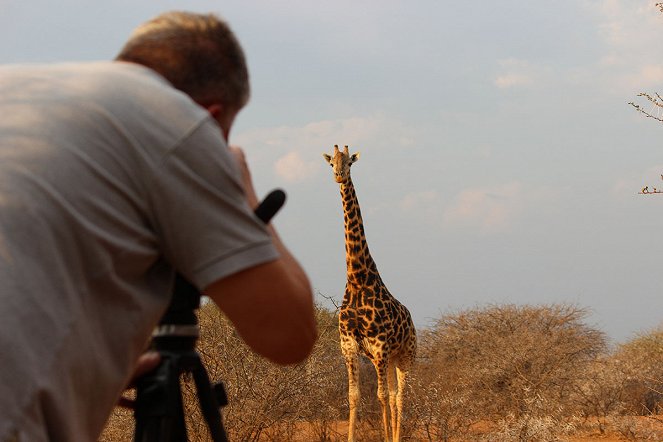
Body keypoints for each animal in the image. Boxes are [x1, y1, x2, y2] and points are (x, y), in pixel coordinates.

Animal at [322, 146, 416, 442]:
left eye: (350, 163)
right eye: (331, 163)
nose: (339, 176)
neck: (357, 279)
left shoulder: (380, 345)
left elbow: (381, 395)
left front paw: (387, 437)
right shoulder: (350, 346)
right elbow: (354, 396)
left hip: (406, 355)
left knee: (400, 397)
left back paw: (396, 437)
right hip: (387, 358)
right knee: (395, 395)